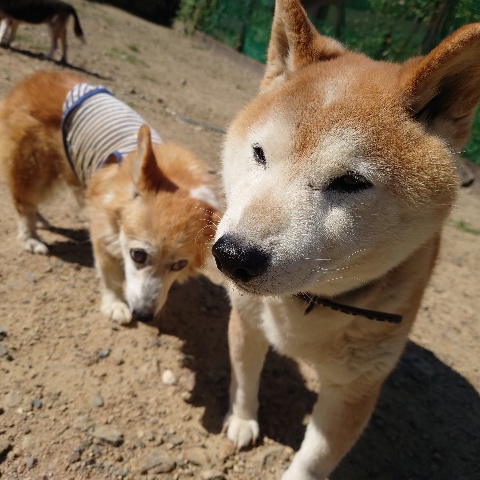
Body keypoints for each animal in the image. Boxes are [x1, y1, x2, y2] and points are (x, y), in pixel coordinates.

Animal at [0, 71, 218, 325]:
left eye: (179, 264)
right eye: (138, 255)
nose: (144, 316)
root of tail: (33, 79)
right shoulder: (103, 234)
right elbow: (111, 274)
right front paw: (115, 306)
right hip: (34, 168)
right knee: (24, 202)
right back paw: (31, 238)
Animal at [212, 1, 480, 478]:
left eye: (350, 182)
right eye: (259, 154)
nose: (232, 254)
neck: (305, 304)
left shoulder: (355, 385)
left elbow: (315, 458)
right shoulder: (247, 321)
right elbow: (244, 379)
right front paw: (241, 419)